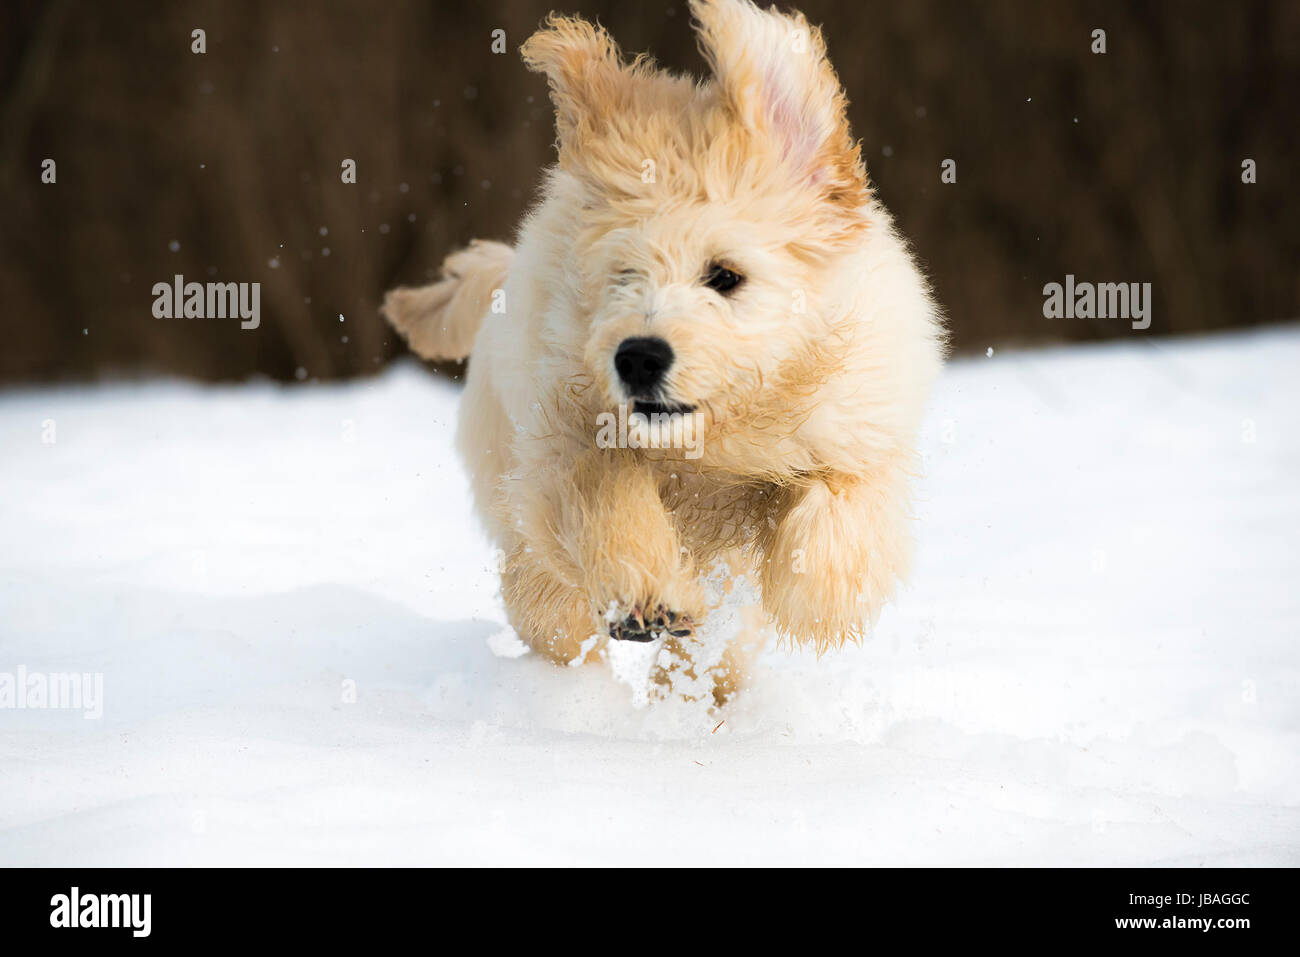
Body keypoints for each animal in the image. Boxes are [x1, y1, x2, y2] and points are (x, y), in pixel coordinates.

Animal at [382, 0, 946, 702]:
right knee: (540, 598)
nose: (638, 358)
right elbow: (606, 499)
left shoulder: (860, 418)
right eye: (623, 274)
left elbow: (842, 499)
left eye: (725, 275)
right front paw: (649, 594)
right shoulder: (568, 433)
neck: (716, 444)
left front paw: (817, 598)